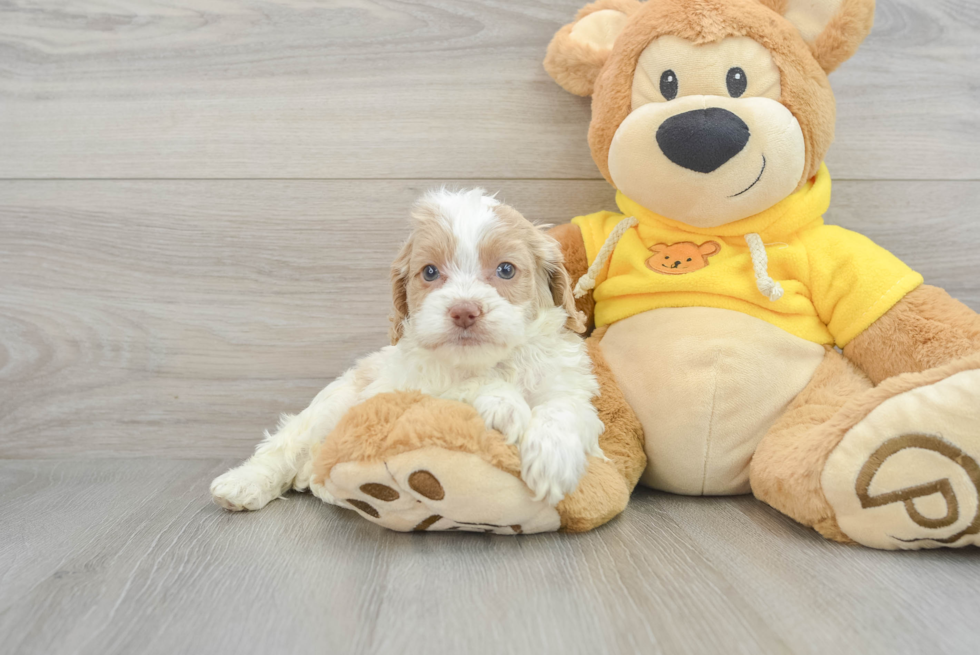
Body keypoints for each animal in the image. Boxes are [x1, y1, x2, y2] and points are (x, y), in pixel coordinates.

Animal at [212, 187, 604, 510]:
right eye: (429, 272)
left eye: (506, 269)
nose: (464, 311)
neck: (490, 363)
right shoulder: (404, 388)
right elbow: (457, 388)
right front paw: (504, 403)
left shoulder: (567, 384)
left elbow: (564, 408)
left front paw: (553, 457)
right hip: (332, 403)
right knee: (288, 445)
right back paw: (244, 484)